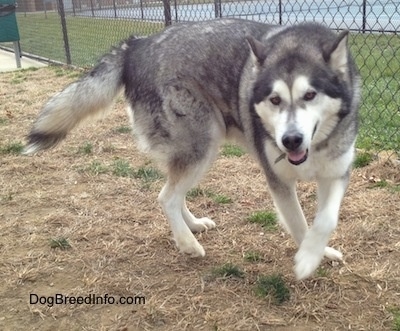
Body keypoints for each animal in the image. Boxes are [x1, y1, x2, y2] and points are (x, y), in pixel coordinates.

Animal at [24, 18, 360, 280]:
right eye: (275, 99)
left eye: (310, 95)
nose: (290, 140)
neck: (314, 148)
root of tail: (137, 45)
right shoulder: (278, 180)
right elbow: (300, 223)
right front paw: (306, 261)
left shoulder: (336, 173)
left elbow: (325, 220)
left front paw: (319, 253)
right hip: (203, 144)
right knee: (166, 197)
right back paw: (187, 243)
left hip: (195, 150)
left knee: (173, 191)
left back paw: (193, 225)